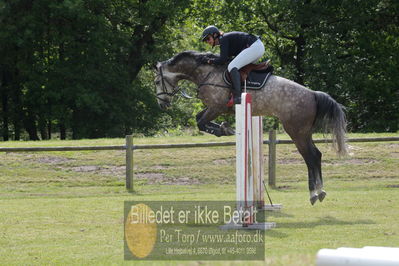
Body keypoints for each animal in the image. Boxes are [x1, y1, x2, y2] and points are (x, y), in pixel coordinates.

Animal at [155, 50, 348, 204]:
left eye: (157, 82)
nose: (162, 104)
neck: (205, 72)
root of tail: (313, 94)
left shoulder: (217, 107)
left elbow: (201, 123)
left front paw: (225, 129)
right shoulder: (215, 108)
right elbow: (199, 120)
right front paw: (224, 128)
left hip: (296, 131)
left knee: (310, 156)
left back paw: (314, 194)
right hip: (304, 132)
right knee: (317, 155)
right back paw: (320, 191)